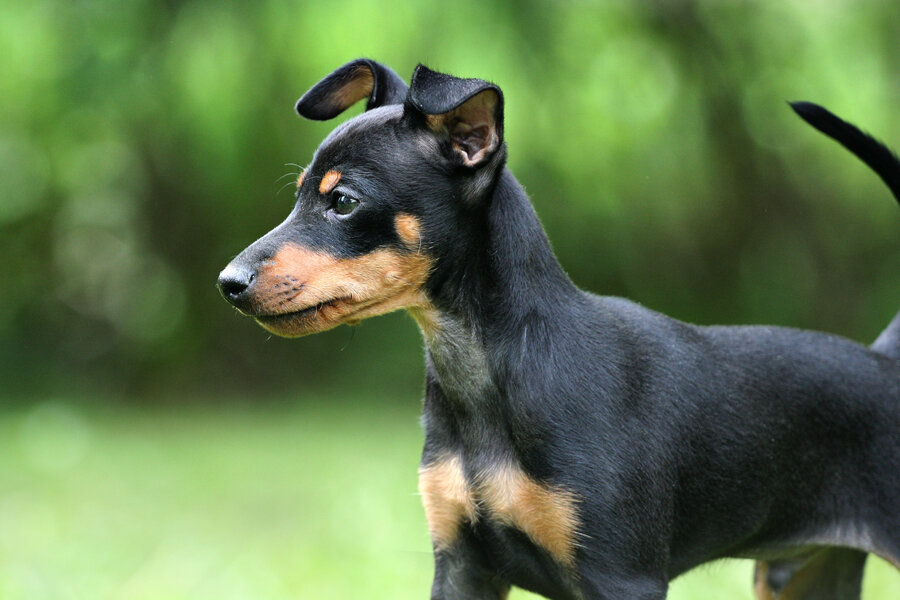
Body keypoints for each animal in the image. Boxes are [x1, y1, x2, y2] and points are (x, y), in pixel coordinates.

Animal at [218, 62, 900, 600]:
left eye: (344, 203)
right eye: (298, 197)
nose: (228, 282)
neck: (483, 368)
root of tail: (884, 361)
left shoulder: (621, 577)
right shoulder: (460, 568)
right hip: (805, 573)